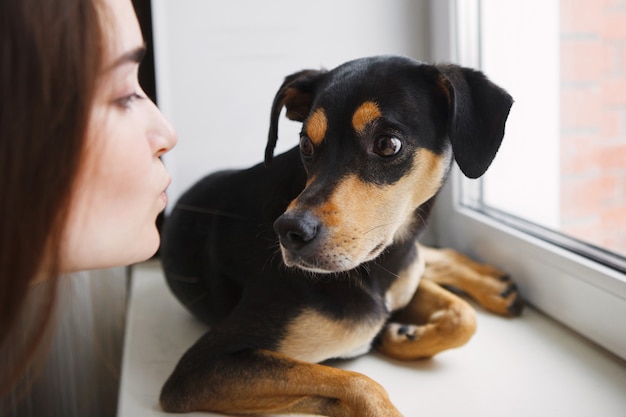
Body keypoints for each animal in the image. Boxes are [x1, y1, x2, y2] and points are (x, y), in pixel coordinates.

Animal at [157, 55, 516, 416]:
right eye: (305, 145)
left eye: (387, 144)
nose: (288, 232)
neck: (383, 263)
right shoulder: (204, 366)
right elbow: (359, 382)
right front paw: (397, 337)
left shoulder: (401, 279)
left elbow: (463, 317)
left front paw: (400, 335)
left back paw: (494, 286)